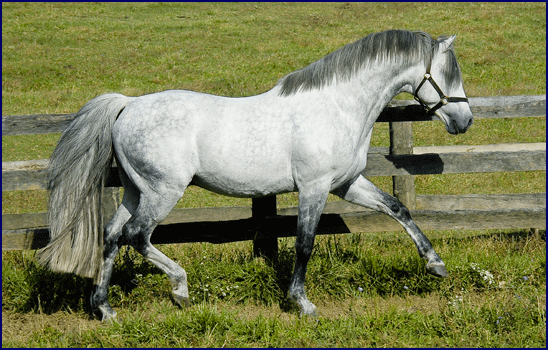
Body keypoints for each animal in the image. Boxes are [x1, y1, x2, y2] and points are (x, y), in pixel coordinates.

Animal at [37, 29, 470, 320]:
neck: (337, 106)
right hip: (164, 191)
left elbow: (398, 209)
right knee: (136, 236)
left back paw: (105, 309)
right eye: (448, 74)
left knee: (111, 236)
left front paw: (435, 264)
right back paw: (180, 290)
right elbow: (304, 244)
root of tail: (127, 105)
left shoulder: (346, 184)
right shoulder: (314, 187)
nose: (464, 120)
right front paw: (302, 303)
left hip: (134, 190)